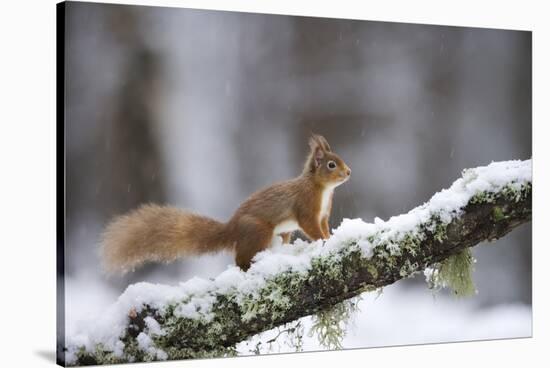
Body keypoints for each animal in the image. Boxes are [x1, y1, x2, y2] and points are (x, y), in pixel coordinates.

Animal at [102, 135, 354, 274]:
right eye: (331, 164)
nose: (349, 172)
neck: (322, 190)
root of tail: (231, 229)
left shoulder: (323, 214)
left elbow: (324, 226)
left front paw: (331, 237)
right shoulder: (306, 208)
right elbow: (310, 227)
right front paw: (324, 241)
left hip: (279, 235)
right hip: (259, 230)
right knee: (240, 259)